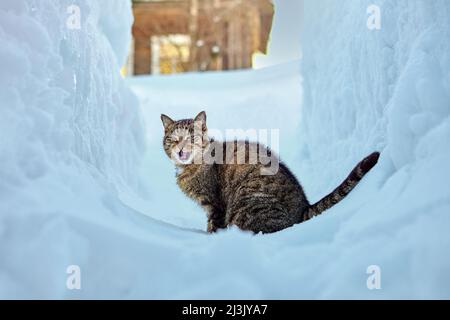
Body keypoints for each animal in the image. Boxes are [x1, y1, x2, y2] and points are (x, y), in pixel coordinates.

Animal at [160, 111, 378, 234]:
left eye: (192, 138)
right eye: (173, 139)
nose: (181, 149)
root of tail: (303, 207)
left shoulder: (215, 204)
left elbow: (213, 226)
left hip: (246, 201)